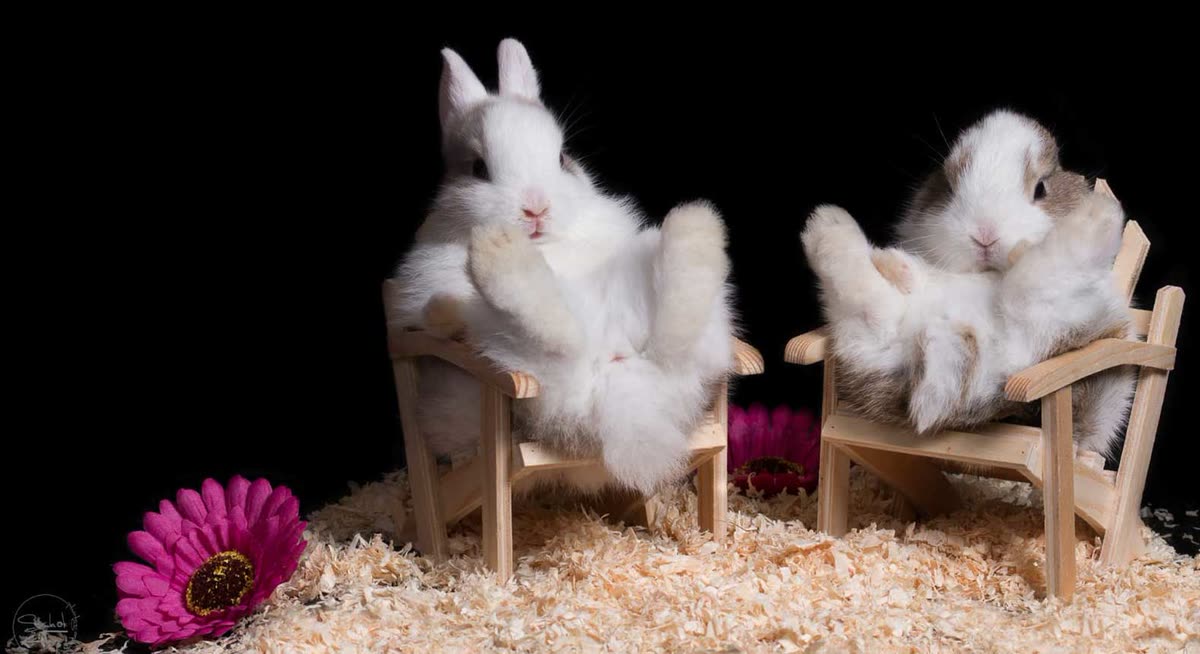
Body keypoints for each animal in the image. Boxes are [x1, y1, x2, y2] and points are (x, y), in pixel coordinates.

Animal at [389, 39, 736, 496]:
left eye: (562, 158)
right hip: (517, 367)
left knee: (668, 335)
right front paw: (448, 306)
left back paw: (694, 230)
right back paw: (499, 253)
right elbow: (440, 317)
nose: (536, 208)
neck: (546, 249)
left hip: (687, 339)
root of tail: (622, 394)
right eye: (478, 168)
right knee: (559, 338)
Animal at [802, 110, 1134, 456]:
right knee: (874, 302)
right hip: (875, 344)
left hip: (1058, 331)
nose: (985, 235)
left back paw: (1097, 213)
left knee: (1033, 283)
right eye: (948, 188)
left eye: (1041, 188)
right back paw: (828, 226)